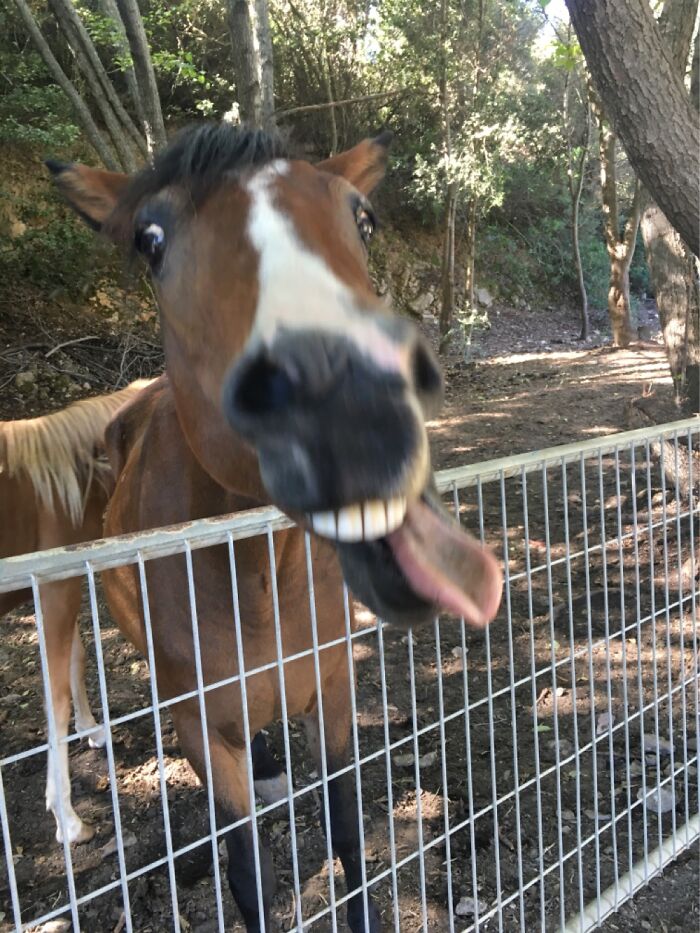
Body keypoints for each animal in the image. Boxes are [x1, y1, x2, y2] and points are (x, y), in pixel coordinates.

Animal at [0, 380, 151, 844]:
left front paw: (91, 729)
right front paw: (66, 818)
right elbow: (56, 695)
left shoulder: (58, 585)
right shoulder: (54, 586)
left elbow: (75, 658)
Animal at [50, 123, 502, 931]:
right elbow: (248, 874)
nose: (354, 407)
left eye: (362, 218)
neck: (257, 579)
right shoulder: (201, 733)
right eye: (150, 240)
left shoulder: (333, 693)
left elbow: (349, 831)